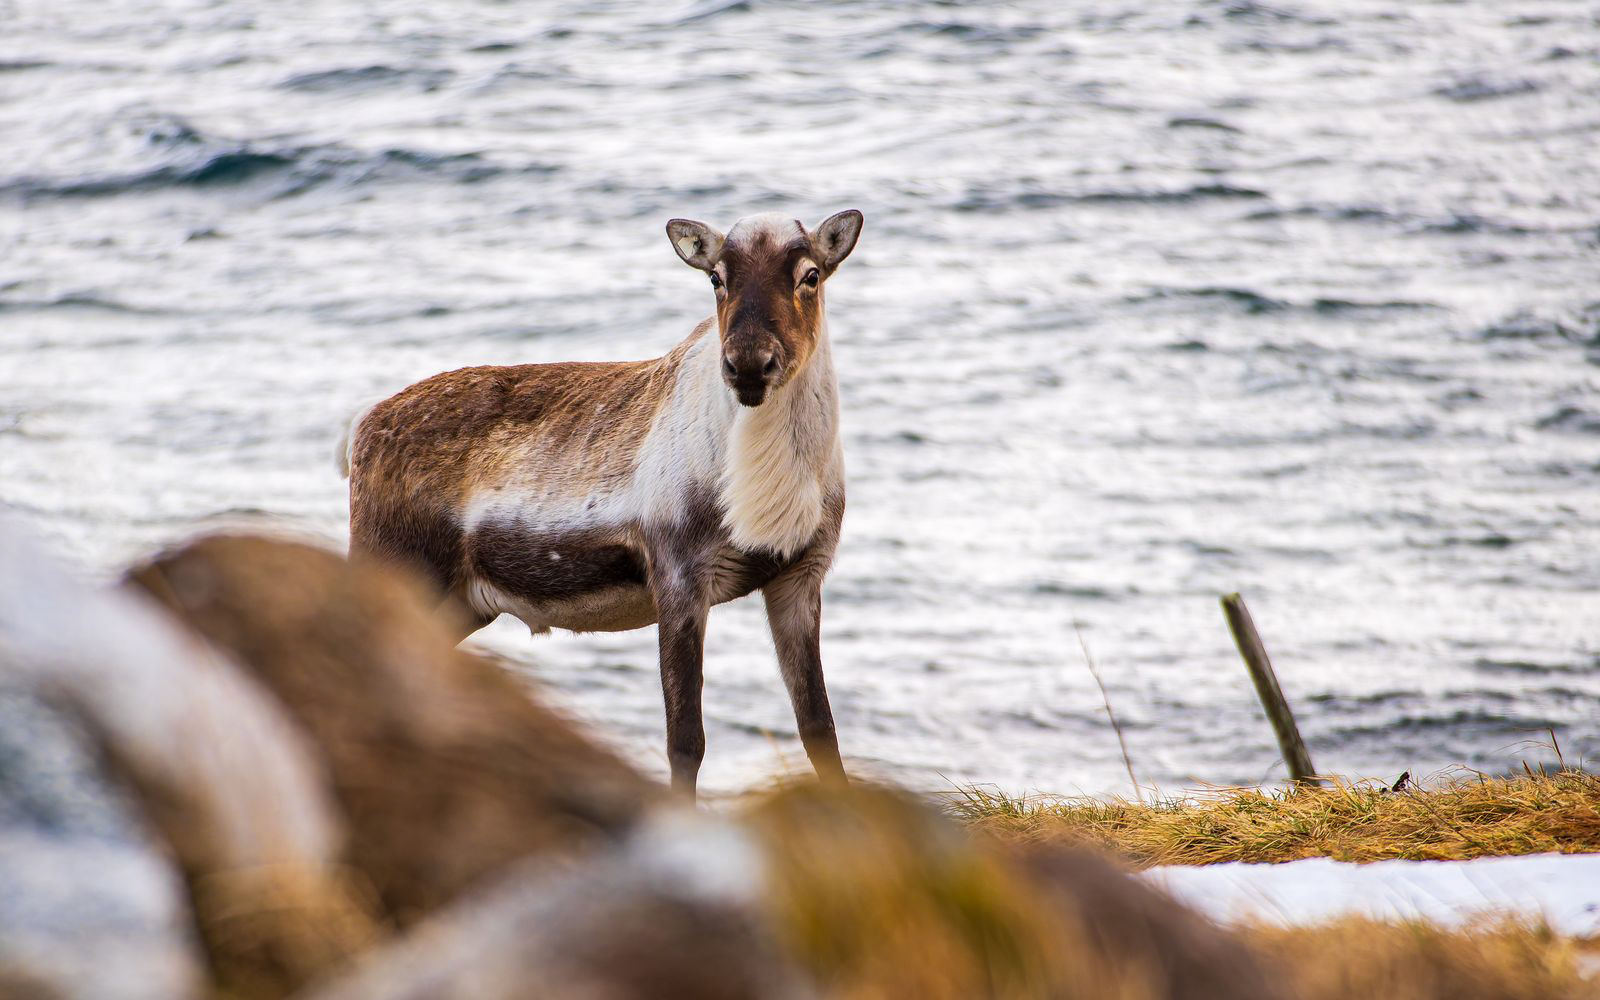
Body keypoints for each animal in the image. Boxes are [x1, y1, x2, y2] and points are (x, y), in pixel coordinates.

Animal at [342, 210, 863, 798]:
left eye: (810, 274)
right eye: (717, 278)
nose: (749, 366)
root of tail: (360, 434)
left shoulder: (799, 577)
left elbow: (819, 728)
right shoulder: (680, 577)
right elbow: (686, 741)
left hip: (460, 604)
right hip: (394, 567)